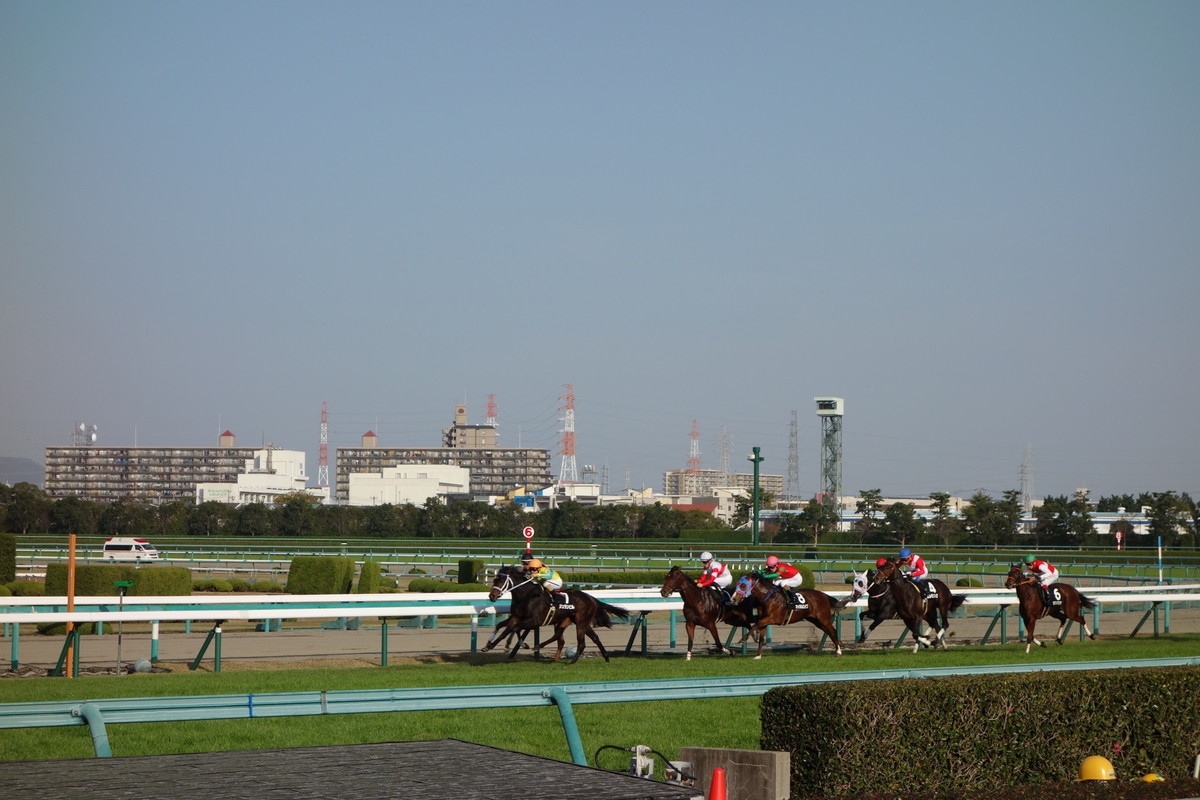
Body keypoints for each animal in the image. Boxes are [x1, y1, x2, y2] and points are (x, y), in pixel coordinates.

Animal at [480, 563, 628, 662]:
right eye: (494, 580)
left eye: (501, 580)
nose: (491, 596)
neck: (527, 596)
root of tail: (591, 598)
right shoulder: (517, 617)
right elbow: (503, 628)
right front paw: (489, 645)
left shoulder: (533, 620)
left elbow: (513, 629)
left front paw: (509, 644)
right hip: (576, 621)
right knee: (588, 637)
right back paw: (606, 657)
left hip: (581, 622)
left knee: (579, 642)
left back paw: (571, 660)